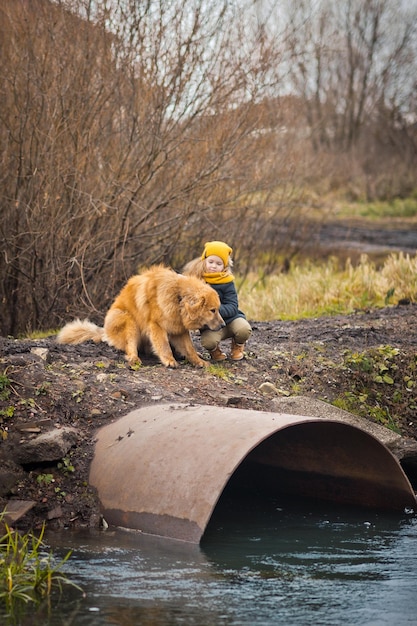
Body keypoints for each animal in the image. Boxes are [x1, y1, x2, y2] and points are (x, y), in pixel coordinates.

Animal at [57, 264, 224, 366]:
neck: (178, 296)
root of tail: (104, 332)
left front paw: (198, 361)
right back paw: (134, 358)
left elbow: (190, 348)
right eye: (212, 310)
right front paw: (169, 360)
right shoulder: (156, 326)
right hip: (128, 321)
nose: (223, 325)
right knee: (130, 346)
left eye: (217, 309)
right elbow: (164, 345)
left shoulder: (178, 329)